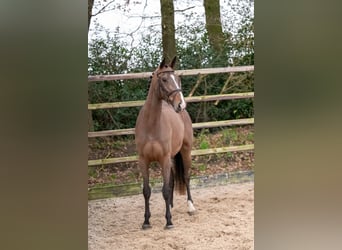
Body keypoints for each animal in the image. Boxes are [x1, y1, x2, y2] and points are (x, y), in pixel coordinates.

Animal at [136, 56, 196, 229]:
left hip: (185, 151)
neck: (151, 125)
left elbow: (165, 190)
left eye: (178, 79)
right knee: (172, 180)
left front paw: (169, 221)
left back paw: (190, 206)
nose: (181, 104)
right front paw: (146, 221)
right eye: (164, 79)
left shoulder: (163, 159)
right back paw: (170, 205)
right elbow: (147, 190)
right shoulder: (143, 161)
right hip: (170, 158)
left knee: (186, 176)